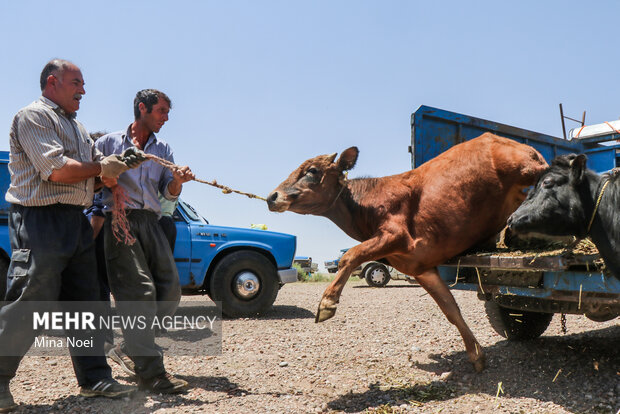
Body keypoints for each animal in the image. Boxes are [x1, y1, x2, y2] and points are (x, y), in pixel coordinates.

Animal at [266, 133, 548, 372]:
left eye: (312, 171)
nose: (272, 196)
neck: (367, 206)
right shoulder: (420, 267)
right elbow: (450, 309)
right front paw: (476, 354)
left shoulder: (397, 235)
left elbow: (351, 255)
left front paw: (327, 303)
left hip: (527, 169)